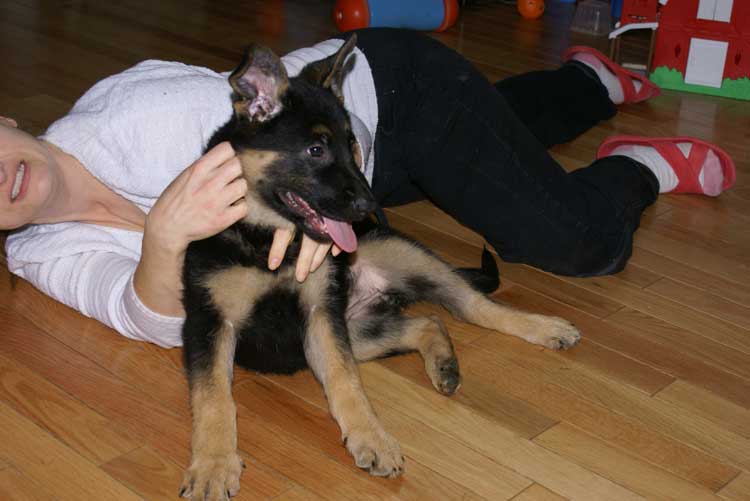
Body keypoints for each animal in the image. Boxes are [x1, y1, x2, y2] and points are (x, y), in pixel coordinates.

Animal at [181, 34, 580, 496]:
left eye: (352, 145)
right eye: (315, 150)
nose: (370, 208)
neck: (268, 237)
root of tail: (374, 294)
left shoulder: (321, 314)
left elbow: (346, 382)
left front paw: (371, 438)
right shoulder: (211, 324)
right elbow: (213, 398)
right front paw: (212, 465)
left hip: (401, 261)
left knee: (473, 307)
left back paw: (544, 328)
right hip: (359, 330)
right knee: (429, 322)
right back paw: (444, 363)